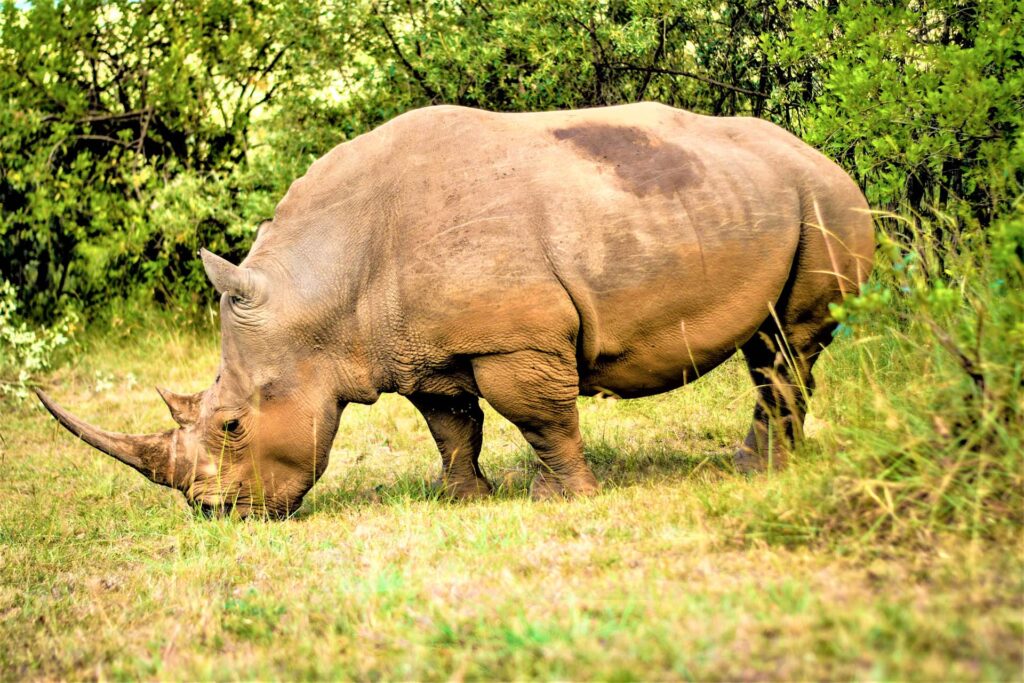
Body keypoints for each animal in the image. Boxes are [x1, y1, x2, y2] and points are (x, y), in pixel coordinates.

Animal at [37, 103, 873, 518]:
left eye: (234, 425)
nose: (214, 513)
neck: (319, 292)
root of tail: (823, 153)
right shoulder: (419, 348)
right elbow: (452, 423)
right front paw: (463, 499)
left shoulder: (516, 340)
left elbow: (538, 416)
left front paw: (561, 500)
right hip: (768, 196)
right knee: (771, 345)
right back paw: (757, 463)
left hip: (824, 197)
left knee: (788, 346)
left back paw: (760, 468)